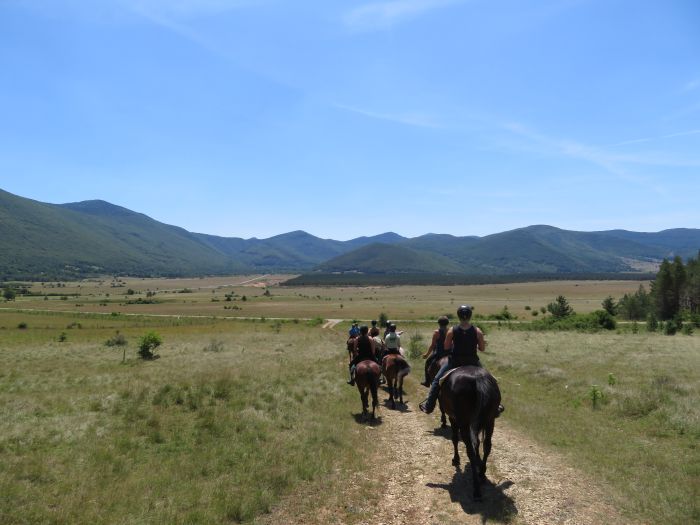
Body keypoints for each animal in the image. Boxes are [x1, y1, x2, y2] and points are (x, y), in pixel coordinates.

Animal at [440, 364, 500, 500]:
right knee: (487, 445)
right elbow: (477, 442)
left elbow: (455, 438)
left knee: (470, 450)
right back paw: (481, 474)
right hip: (490, 420)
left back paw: (476, 489)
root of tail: (478, 379)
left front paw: (456, 459)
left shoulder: (453, 419)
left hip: (464, 422)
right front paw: (478, 461)